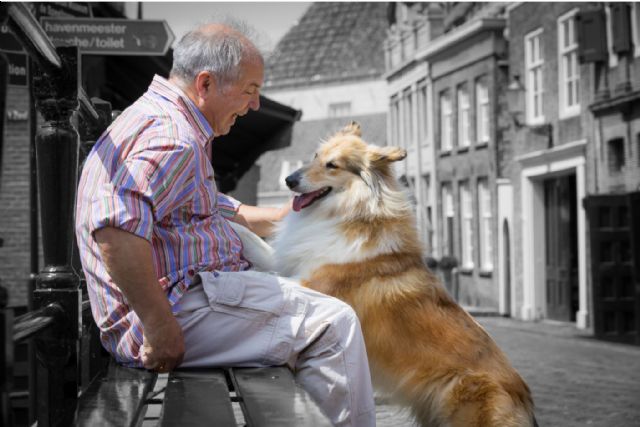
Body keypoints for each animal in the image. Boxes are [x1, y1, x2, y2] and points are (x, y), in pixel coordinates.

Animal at [270, 122, 536, 426]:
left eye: (333, 165)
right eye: (316, 155)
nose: (289, 180)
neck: (352, 213)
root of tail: (523, 397)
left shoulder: (312, 283)